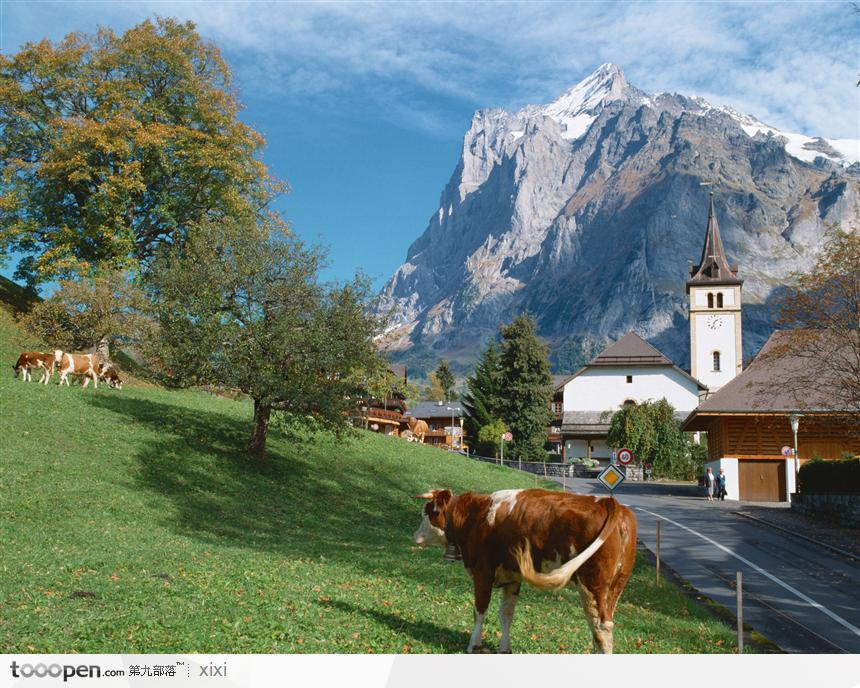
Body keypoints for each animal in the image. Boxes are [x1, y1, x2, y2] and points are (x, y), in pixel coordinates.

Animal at [416, 486, 640, 652]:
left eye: (427, 511)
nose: (415, 535)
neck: (474, 517)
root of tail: (608, 502)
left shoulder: (482, 573)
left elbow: (480, 610)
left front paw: (474, 646)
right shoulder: (512, 577)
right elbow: (506, 613)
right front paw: (504, 649)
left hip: (593, 583)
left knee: (601, 627)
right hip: (616, 585)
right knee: (600, 627)